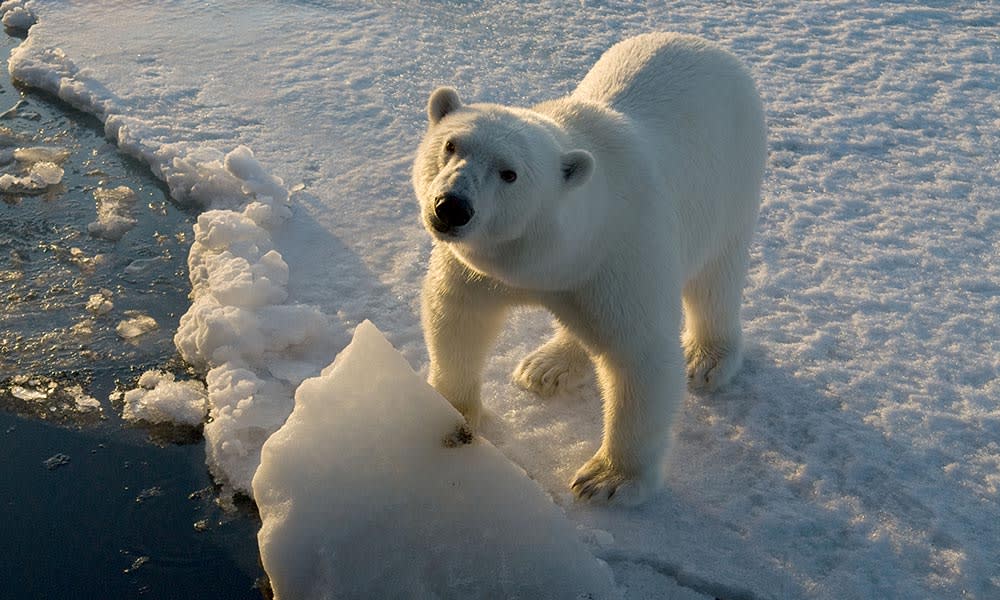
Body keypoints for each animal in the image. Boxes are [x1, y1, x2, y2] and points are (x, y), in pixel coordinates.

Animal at [413, 33, 766, 506]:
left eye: (509, 173)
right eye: (451, 145)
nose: (451, 207)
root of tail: (707, 46)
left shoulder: (620, 256)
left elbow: (641, 357)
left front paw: (608, 479)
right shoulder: (482, 268)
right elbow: (457, 316)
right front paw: (451, 408)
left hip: (732, 180)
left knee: (715, 278)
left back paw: (707, 357)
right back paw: (547, 366)